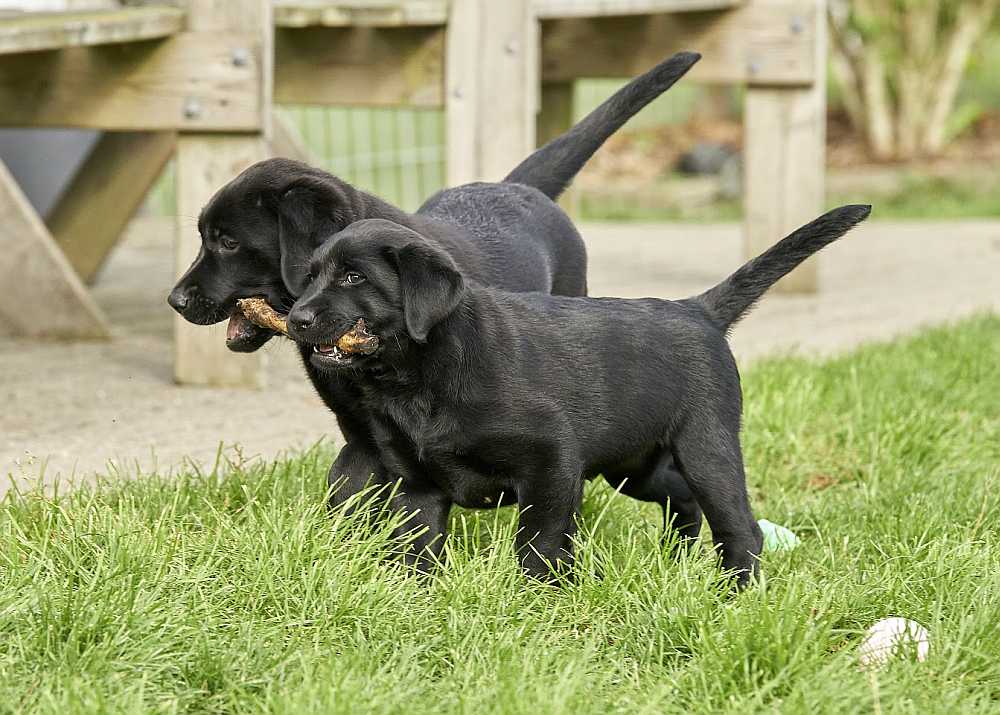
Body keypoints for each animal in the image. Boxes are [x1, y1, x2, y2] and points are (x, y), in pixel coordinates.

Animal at [284, 205, 872, 585]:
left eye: (353, 277)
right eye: (309, 278)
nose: (296, 319)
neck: (423, 374)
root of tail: (697, 309)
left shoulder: (552, 461)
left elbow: (538, 543)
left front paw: (535, 599)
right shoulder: (417, 486)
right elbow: (417, 550)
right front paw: (417, 598)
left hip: (708, 446)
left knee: (738, 526)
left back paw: (737, 593)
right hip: (633, 465)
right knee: (681, 497)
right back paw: (674, 561)